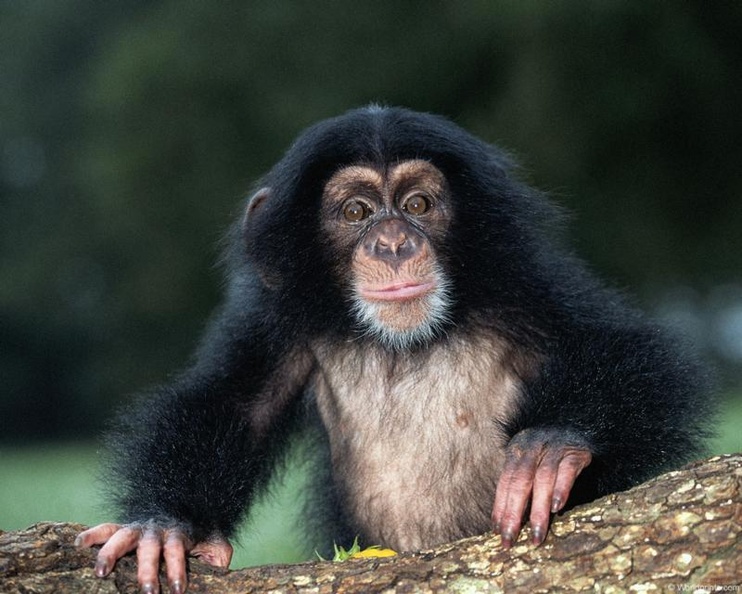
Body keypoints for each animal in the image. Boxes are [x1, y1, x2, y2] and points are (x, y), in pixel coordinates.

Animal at [76, 106, 713, 594]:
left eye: (418, 204)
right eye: (356, 211)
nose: (391, 242)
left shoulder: (522, 284)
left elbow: (625, 352)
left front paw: (553, 446)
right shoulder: (273, 318)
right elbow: (234, 404)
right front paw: (164, 526)